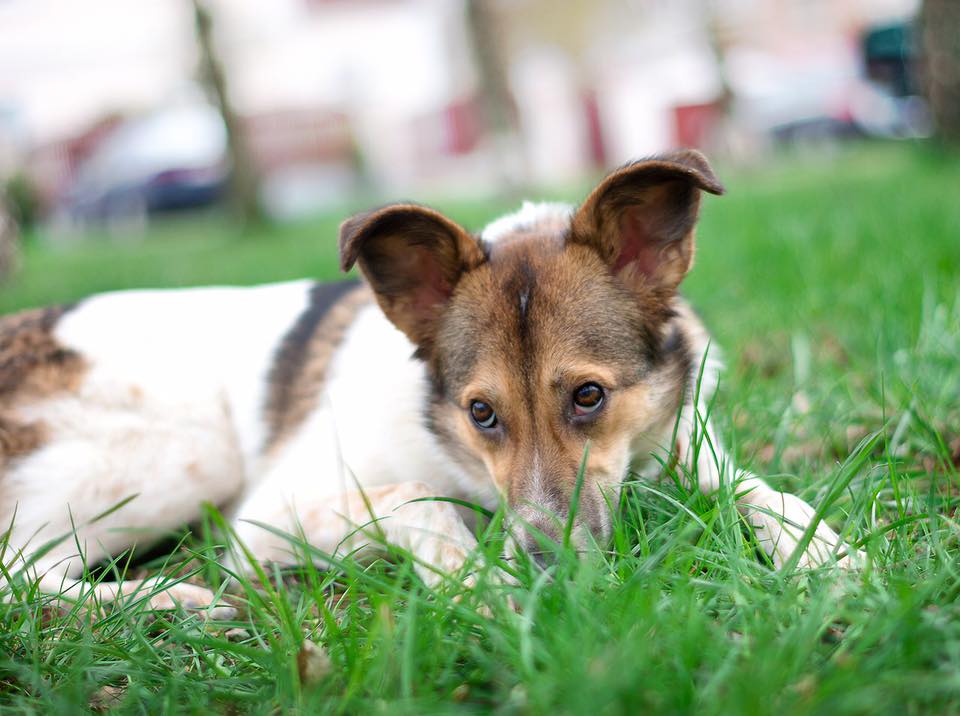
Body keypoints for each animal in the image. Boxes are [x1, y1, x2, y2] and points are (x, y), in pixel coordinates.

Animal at [0, 151, 860, 616]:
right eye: (481, 411)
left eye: (589, 396)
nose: (550, 568)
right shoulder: (267, 518)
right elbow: (415, 500)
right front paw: (479, 585)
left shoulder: (684, 446)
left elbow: (756, 488)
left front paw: (828, 554)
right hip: (180, 459)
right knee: (15, 569)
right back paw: (157, 600)